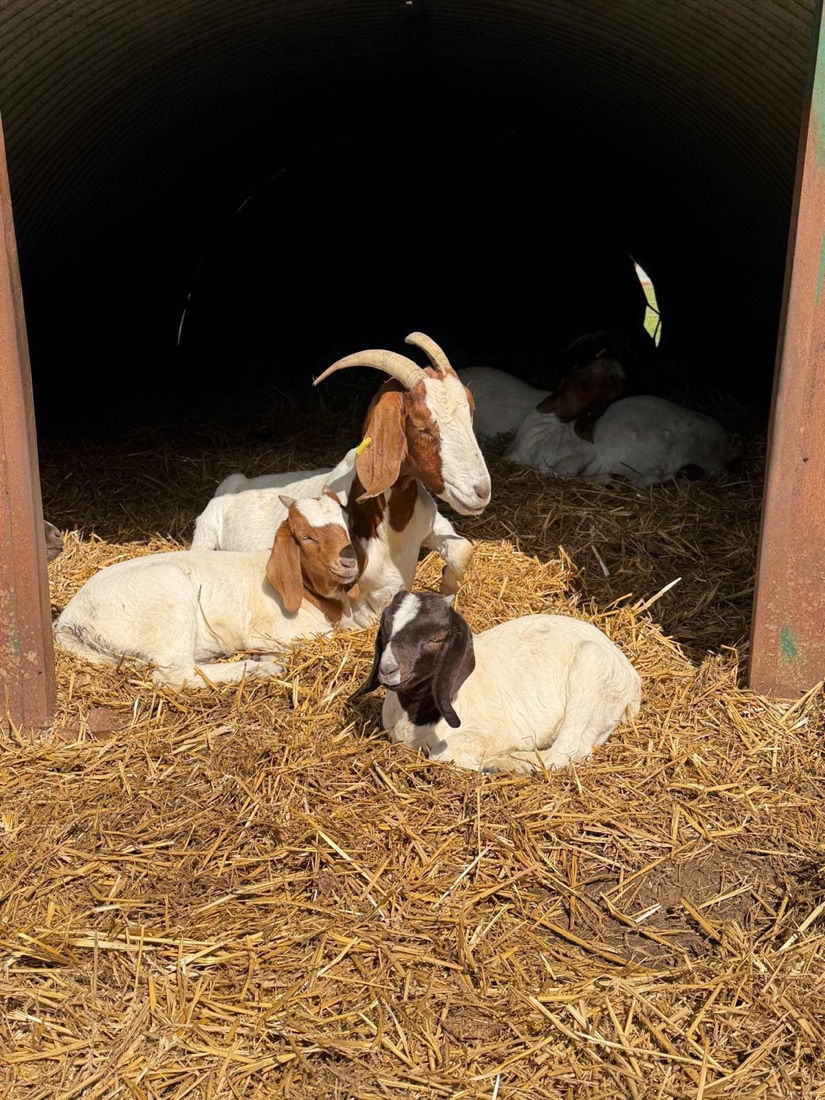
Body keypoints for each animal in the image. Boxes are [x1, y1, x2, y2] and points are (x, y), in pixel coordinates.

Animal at [54, 492, 364, 689]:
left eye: (347, 525)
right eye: (306, 537)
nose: (348, 561)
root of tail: (71, 620)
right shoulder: (274, 631)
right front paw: (268, 658)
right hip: (170, 596)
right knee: (177, 674)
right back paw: (259, 669)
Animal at [191, 332, 491, 617]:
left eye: (471, 412)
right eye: (421, 426)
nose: (481, 491)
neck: (390, 523)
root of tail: (235, 484)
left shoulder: (431, 522)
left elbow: (464, 549)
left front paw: (447, 584)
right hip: (205, 533)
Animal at [352, 590, 641, 774]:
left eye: (436, 638)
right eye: (385, 629)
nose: (387, 669)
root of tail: (631, 676)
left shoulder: (499, 732)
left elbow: (444, 754)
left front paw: (493, 761)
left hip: (591, 676)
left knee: (567, 749)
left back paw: (509, 764)